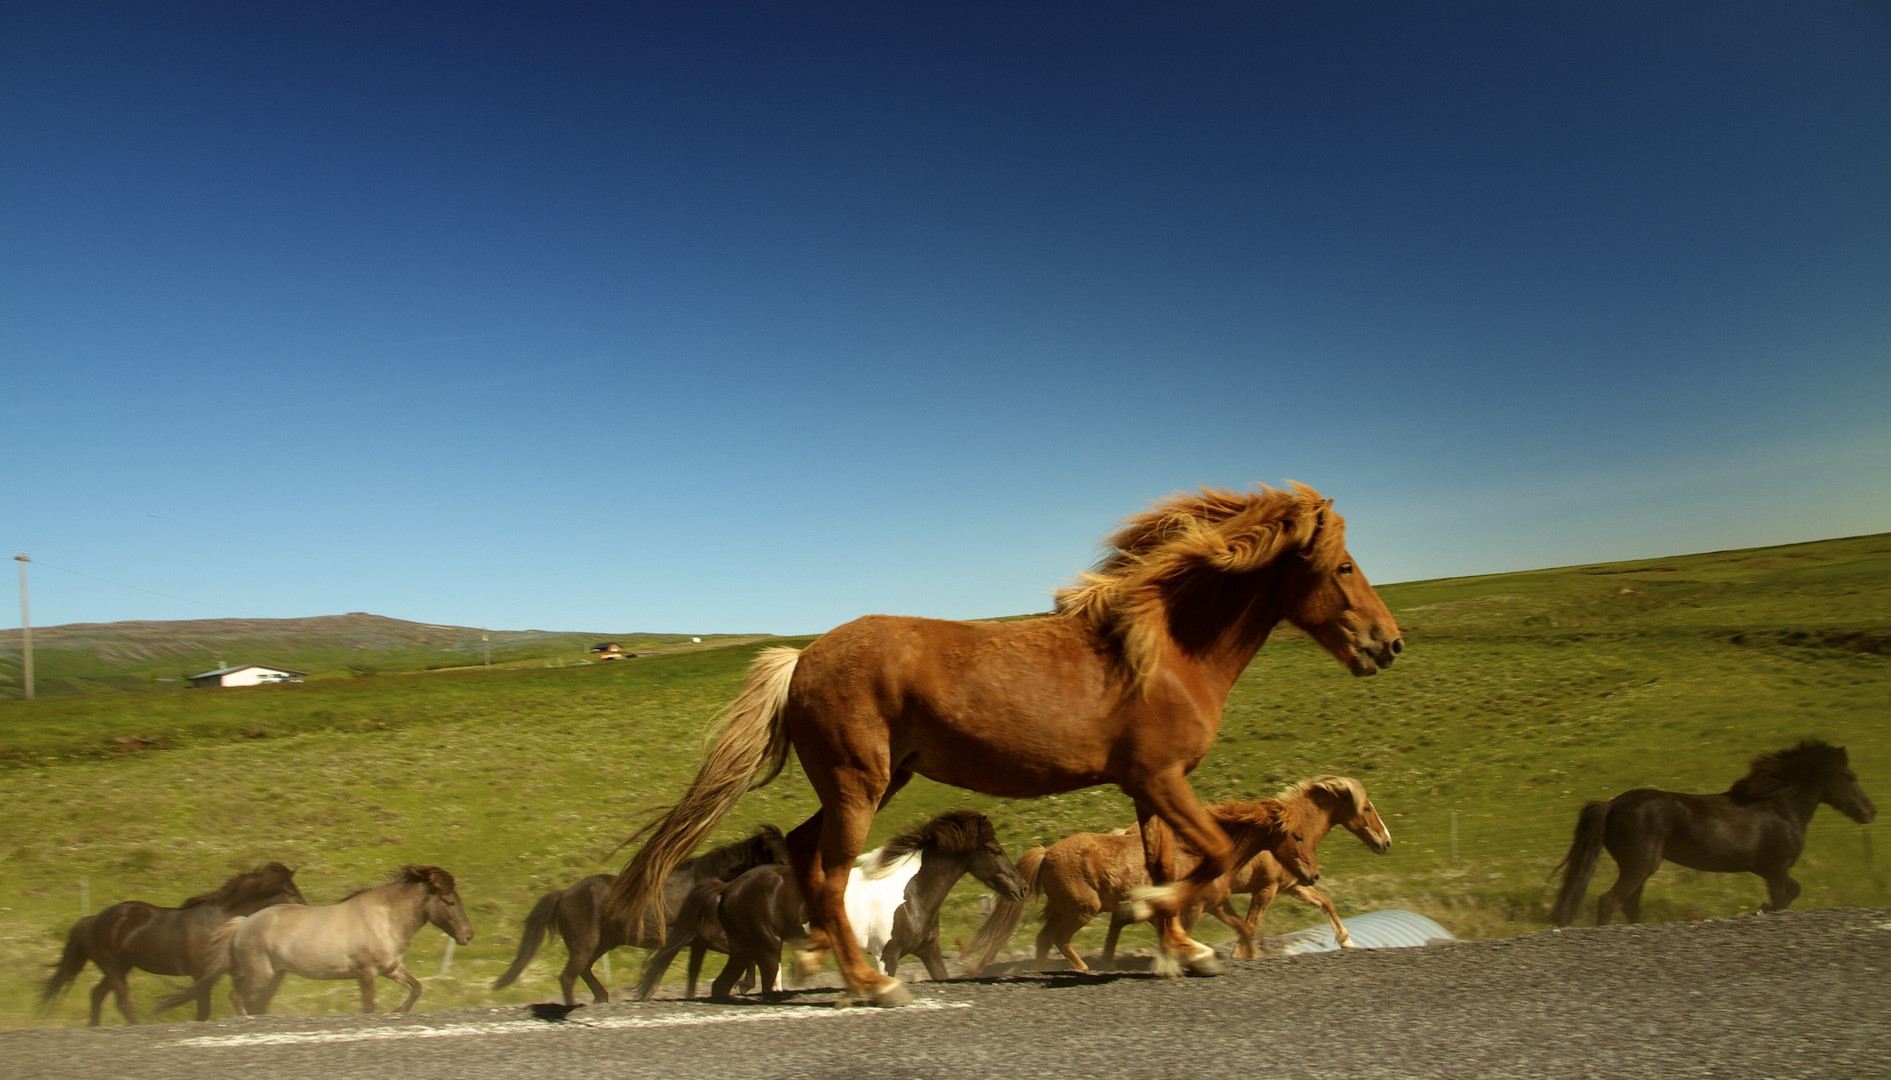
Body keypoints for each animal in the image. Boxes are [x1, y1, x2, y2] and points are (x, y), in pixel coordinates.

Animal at [44, 866, 306, 1028]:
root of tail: (90, 920)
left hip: (122, 965)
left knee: (97, 994)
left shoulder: (233, 972)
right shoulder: (201, 975)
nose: (305, 910)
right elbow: (204, 1011)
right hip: (112, 965)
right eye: (289, 891)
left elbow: (249, 1001)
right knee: (122, 1000)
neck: (218, 923)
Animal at [491, 828, 786, 1006]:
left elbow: (692, 975)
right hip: (586, 943)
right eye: (781, 856)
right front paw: (745, 984)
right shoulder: (711, 937)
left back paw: (602, 998)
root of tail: (564, 894)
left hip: (603, 943)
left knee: (583, 971)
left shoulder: (697, 944)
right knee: (568, 977)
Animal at [608, 484, 1406, 1013]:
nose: (1388, 644)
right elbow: (1204, 858)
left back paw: (811, 957)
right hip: (858, 782)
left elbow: (1171, 859)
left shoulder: (1149, 786)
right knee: (831, 872)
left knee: (806, 852)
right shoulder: (1162, 779)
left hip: (873, 781)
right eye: (1342, 567)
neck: (1167, 652)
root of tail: (802, 658)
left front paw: (1180, 950)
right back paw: (871, 983)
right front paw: (1160, 921)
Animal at [1550, 745, 1875, 930]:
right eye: (1850, 776)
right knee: (1609, 901)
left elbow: (1791, 893)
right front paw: (1762, 909)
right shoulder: (1776, 868)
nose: (1870, 812)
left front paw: (1760, 909)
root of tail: (1612, 804)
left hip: (1639, 869)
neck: (1781, 808)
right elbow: (1784, 897)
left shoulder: (1770, 870)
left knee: (1629, 906)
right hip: (1639, 866)